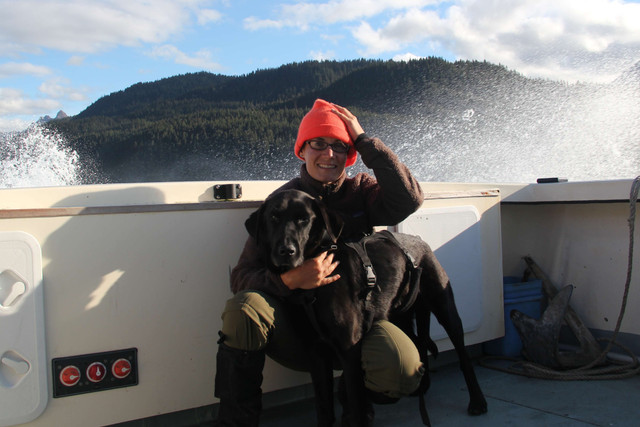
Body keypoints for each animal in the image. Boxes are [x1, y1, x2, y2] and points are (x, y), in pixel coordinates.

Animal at [248, 191, 488, 427]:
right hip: (400, 315)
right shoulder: (316, 351)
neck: (312, 287)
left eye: (304, 219)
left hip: (444, 307)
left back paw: (477, 400)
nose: (286, 251)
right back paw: (422, 387)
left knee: (463, 355)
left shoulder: (349, 347)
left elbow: (357, 406)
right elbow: (324, 407)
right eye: (274, 217)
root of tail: (419, 241)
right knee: (418, 343)